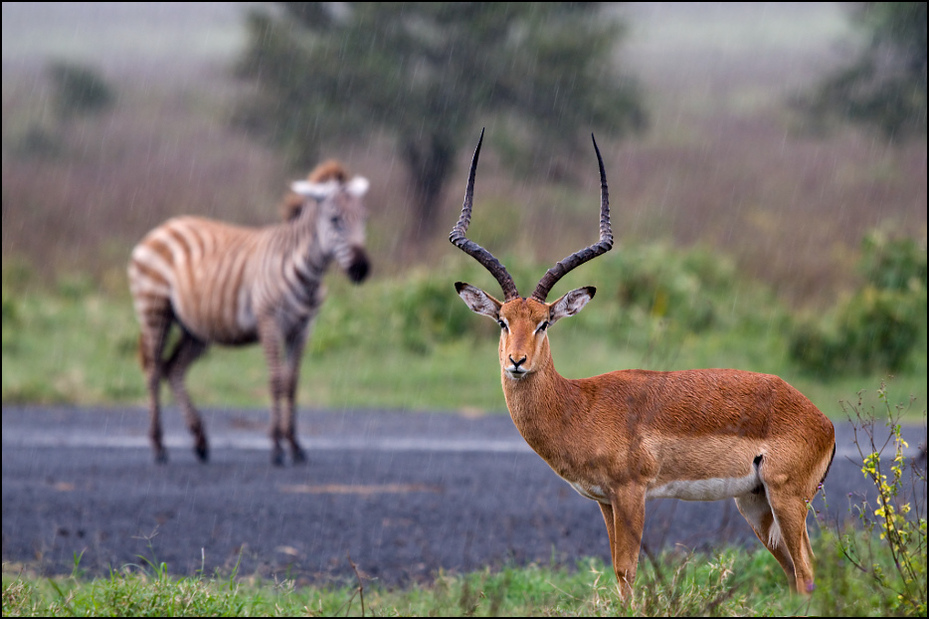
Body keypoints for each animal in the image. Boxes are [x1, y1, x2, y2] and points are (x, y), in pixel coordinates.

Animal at [128, 160, 374, 464]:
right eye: (335, 219)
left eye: (364, 218)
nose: (362, 270)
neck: (308, 274)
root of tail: (164, 226)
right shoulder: (269, 322)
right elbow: (276, 380)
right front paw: (277, 446)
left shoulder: (303, 328)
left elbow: (292, 383)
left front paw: (295, 445)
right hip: (154, 310)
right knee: (153, 371)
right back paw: (159, 445)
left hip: (196, 328)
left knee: (173, 369)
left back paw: (200, 440)